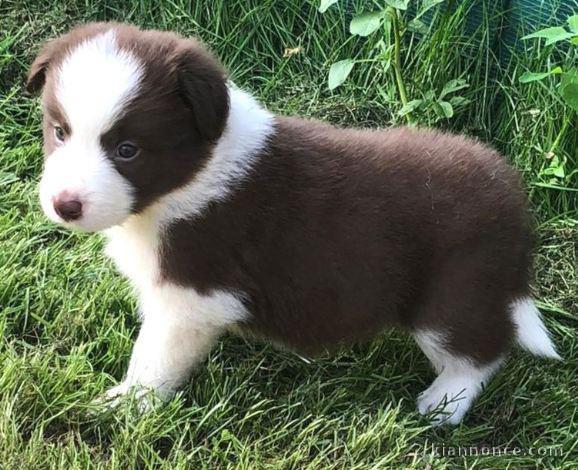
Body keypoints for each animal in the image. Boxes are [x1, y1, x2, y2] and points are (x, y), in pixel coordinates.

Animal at [28, 22, 560, 426]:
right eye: (59, 132)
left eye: (127, 150)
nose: (63, 205)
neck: (196, 172)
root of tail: (514, 201)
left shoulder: (192, 296)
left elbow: (153, 359)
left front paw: (123, 406)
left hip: (452, 292)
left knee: (481, 351)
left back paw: (443, 405)